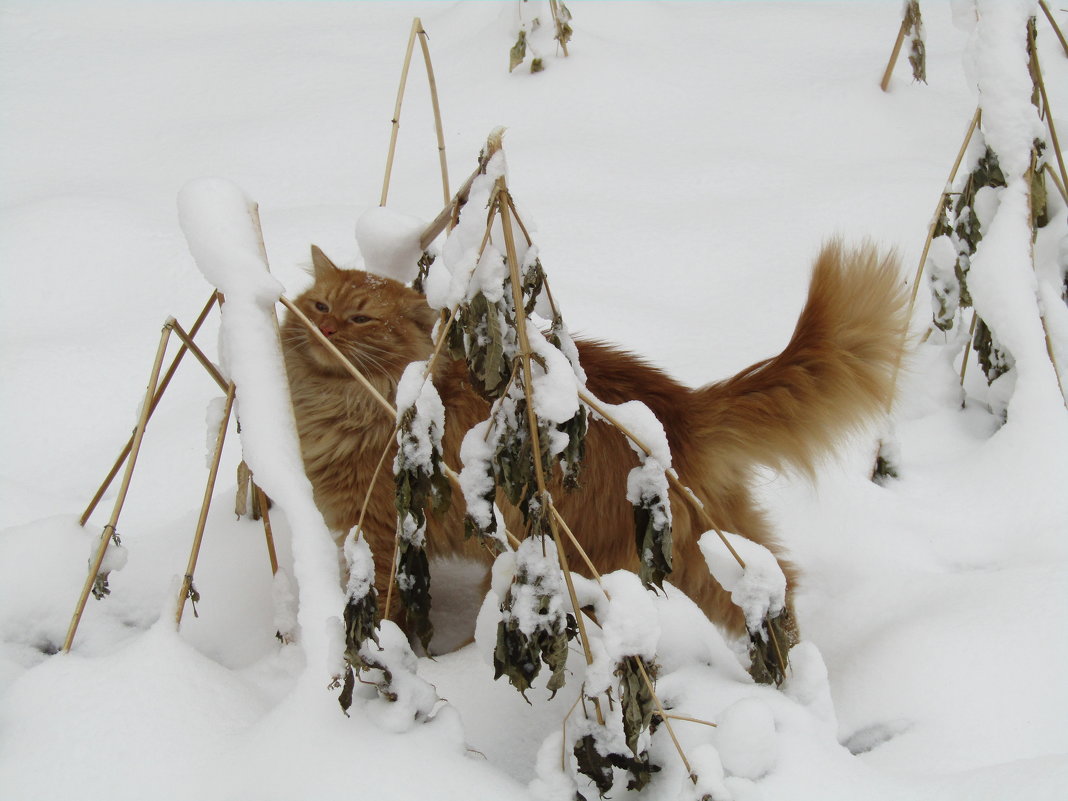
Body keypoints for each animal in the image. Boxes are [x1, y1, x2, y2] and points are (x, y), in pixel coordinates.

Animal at [279, 244, 905, 645]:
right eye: (320, 305)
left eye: (361, 319)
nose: (325, 330)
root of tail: (682, 408)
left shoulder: (382, 538)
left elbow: (382, 616)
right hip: (705, 552)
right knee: (774, 594)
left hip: (553, 565)